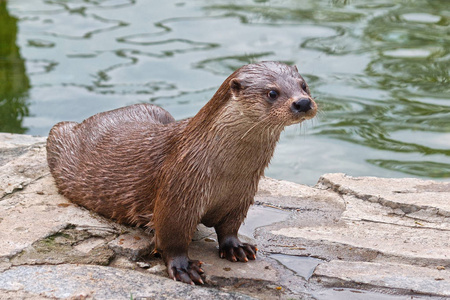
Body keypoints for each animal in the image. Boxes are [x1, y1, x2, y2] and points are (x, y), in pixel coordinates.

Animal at [46, 61, 316, 284]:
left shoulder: (242, 195)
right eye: (272, 92)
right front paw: (184, 268)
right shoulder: (178, 192)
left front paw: (236, 247)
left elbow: (230, 227)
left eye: (304, 85)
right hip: (59, 133)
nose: (303, 102)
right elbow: (171, 237)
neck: (227, 174)